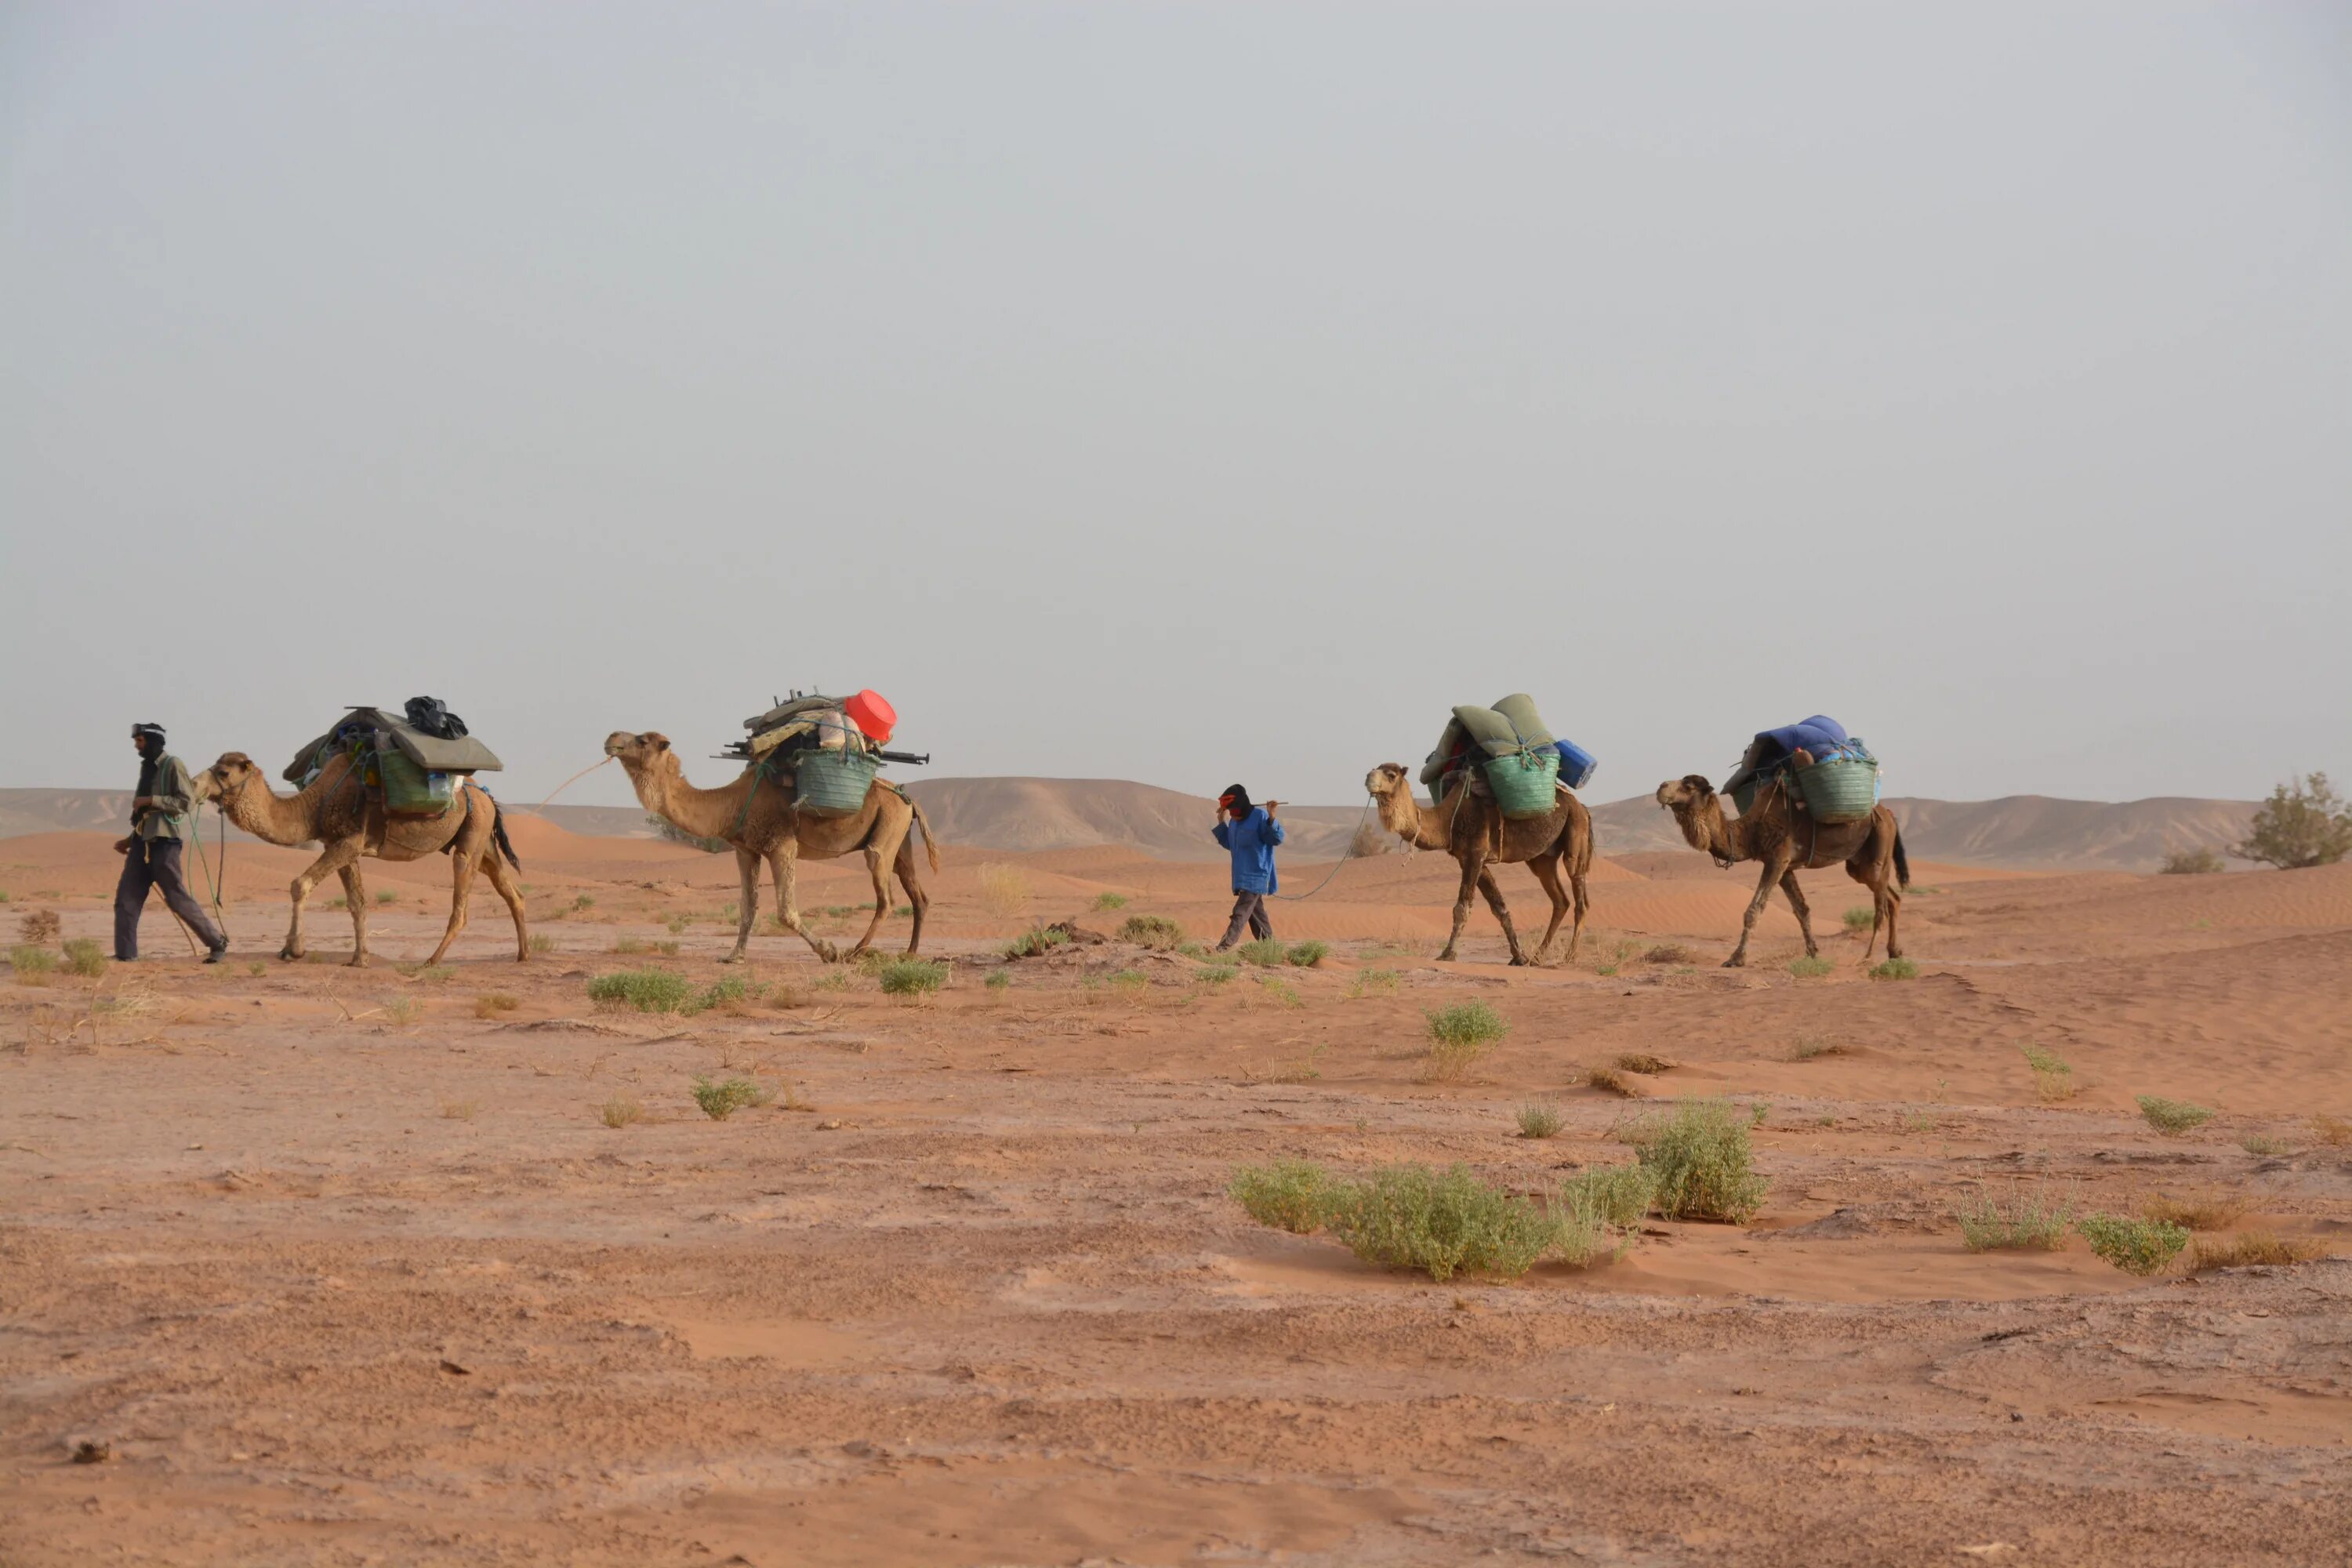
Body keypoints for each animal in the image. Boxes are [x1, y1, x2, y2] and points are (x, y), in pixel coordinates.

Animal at [188, 752, 529, 968]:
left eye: (224, 772)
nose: (192, 785)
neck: (313, 806)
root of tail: (487, 796)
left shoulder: (350, 840)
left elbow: (300, 883)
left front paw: (292, 950)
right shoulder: (342, 845)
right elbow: (357, 903)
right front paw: (359, 959)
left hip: (473, 833)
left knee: (463, 895)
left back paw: (432, 960)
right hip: (483, 841)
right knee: (511, 892)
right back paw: (524, 954)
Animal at [607, 738, 936, 968]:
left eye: (642, 740)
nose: (611, 738)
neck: (733, 802)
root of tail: (909, 800)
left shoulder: (782, 846)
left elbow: (785, 911)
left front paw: (828, 951)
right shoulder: (746, 850)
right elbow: (748, 907)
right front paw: (734, 956)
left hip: (888, 829)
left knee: (885, 893)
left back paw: (856, 952)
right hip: (899, 837)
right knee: (917, 894)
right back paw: (909, 953)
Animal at [1364, 761, 1599, 968]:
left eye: (1391, 775)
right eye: (1375, 769)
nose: (1368, 779)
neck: (1447, 819)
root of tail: (1583, 807)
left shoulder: (1475, 853)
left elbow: (1462, 908)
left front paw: (1447, 954)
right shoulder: (1470, 859)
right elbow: (1499, 907)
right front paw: (1519, 956)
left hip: (1576, 829)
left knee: (1579, 896)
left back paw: (1569, 957)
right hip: (1542, 859)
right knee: (1560, 901)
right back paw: (1537, 957)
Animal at [1656, 771, 1910, 968]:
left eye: (1688, 786)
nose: (1661, 787)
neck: (1751, 831)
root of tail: (1889, 814)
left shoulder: (1777, 860)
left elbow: (1754, 910)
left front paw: (1736, 958)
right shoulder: (1786, 867)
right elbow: (1801, 909)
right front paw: (1813, 952)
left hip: (1879, 845)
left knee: (1881, 908)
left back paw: (1868, 957)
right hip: (1858, 864)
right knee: (1893, 898)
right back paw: (1894, 952)